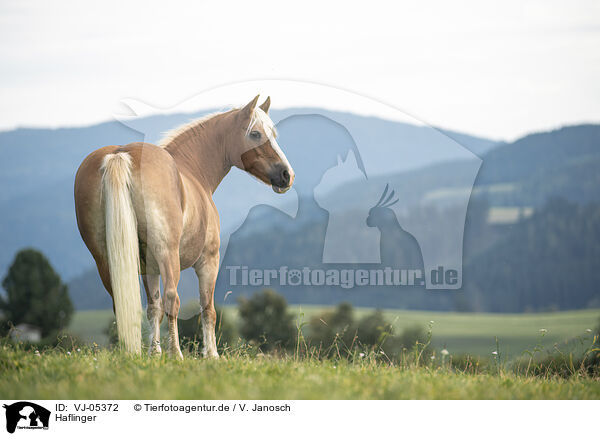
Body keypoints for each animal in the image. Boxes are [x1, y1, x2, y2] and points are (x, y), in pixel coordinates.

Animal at [74, 97, 294, 360]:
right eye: (255, 133)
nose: (287, 175)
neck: (193, 172)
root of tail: (121, 154)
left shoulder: (149, 267)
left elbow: (153, 308)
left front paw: (155, 353)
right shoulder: (208, 261)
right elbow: (207, 309)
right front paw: (211, 354)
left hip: (105, 258)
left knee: (124, 301)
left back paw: (129, 352)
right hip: (167, 253)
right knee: (173, 298)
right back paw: (176, 354)